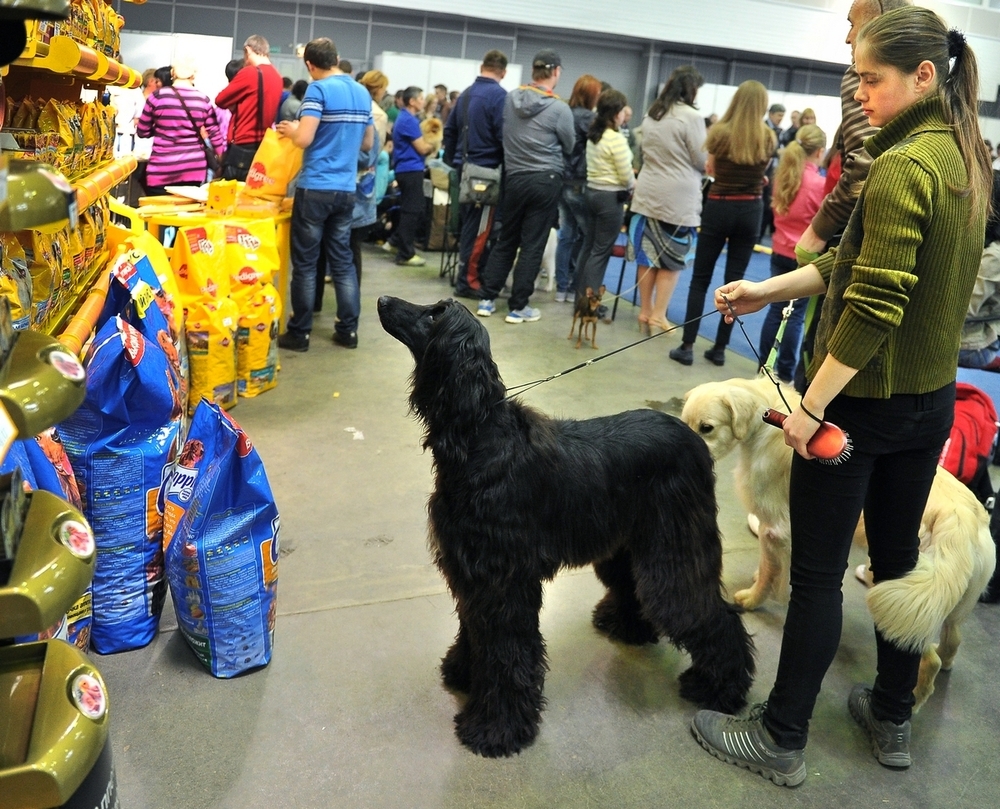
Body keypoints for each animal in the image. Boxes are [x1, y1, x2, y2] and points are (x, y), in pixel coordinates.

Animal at [684, 374, 996, 708]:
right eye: (686, 422)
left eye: (707, 428)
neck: (767, 422)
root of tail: (964, 515)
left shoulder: (775, 528)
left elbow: (769, 570)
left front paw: (753, 599)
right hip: (943, 602)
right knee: (952, 640)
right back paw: (944, 662)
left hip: (908, 599)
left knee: (927, 659)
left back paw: (913, 702)